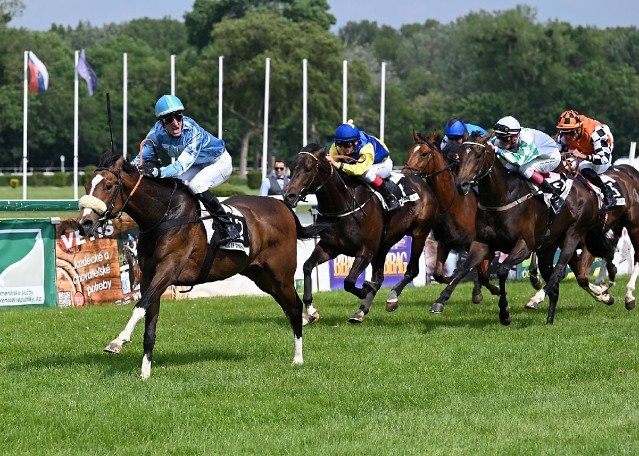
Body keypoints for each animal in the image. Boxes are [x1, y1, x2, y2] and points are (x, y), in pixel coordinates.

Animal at [77, 151, 328, 380]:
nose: (85, 223)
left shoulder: (169, 269)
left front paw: (118, 341)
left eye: (108, 186)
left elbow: (140, 306)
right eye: (87, 185)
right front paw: (145, 373)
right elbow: (149, 321)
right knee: (288, 307)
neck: (164, 216)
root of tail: (283, 207)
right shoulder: (149, 275)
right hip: (261, 276)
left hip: (280, 274)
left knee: (294, 307)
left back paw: (298, 355)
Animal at [284, 144, 440, 322]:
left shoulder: (366, 251)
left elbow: (349, 281)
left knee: (412, 269)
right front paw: (310, 311)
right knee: (379, 277)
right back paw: (360, 312)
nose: (289, 196)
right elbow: (307, 266)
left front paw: (365, 289)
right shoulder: (329, 248)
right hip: (383, 245)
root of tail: (421, 182)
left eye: (308, 169)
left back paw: (391, 298)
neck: (344, 205)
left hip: (420, 232)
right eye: (291, 168)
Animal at [402, 131, 502, 302]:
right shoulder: (445, 242)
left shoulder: (478, 243)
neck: (453, 203)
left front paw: (491, 289)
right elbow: (440, 274)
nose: (404, 174)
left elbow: (481, 272)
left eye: (424, 153)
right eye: (409, 151)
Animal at [432, 134, 616, 326]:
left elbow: (502, 270)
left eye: (478, 155)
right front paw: (440, 300)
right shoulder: (482, 244)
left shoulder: (524, 246)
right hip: (548, 248)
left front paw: (505, 314)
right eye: (460, 156)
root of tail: (589, 188)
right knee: (556, 284)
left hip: (574, 234)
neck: (502, 197)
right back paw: (550, 319)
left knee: (559, 271)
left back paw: (537, 298)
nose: (461, 185)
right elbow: (463, 269)